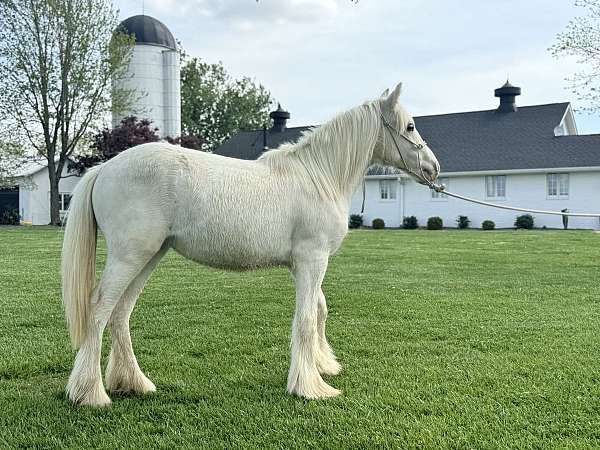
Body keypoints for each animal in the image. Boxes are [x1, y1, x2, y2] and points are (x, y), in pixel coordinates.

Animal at [62, 82, 440, 406]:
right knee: (99, 310)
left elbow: (319, 310)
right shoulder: (313, 259)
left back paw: (134, 383)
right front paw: (311, 387)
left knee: (120, 313)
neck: (319, 176)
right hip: (129, 257)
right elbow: (306, 319)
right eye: (409, 127)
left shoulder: (305, 264)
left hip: (149, 256)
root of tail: (105, 168)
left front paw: (323, 366)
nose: (433, 168)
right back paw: (91, 393)